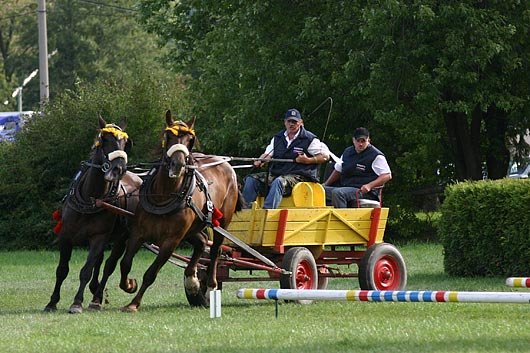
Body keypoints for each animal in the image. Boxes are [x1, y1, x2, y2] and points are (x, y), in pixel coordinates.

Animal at [43, 117, 142, 312]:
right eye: (105, 140)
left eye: (125, 143)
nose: (119, 169)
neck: (91, 198)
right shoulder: (66, 235)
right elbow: (62, 270)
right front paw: (52, 302)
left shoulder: (99, 236)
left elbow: (86, 270)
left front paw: (77, 302)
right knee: (100, 261)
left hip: (122, 237)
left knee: (108, 265)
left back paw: (96, 298)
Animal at [117, 109, 241, 310]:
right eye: (168, 136)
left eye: (190, 139)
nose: (178, 165)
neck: (163, 196)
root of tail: (225, 163)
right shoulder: (138, 232)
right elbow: (125, 263)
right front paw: (129, 285)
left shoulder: (171, 241)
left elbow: (151, 273)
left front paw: (134, 303)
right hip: (193, 227)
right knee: (202, 242)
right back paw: (192, 280)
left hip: (221, 222)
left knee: (215, 250)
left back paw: (210, 286)